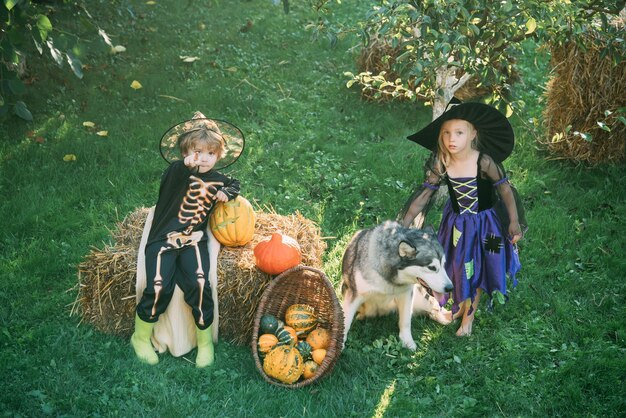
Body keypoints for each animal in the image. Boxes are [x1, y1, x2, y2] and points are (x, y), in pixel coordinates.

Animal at [338, 220, 450, 352]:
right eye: (432, 267)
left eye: (444, 264)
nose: (450, 287)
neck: (389, 279)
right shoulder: (354, 295)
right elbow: (346, 322)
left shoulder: (406, 294)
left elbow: (406, 321)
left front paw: (407, 341)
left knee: (433, 307)